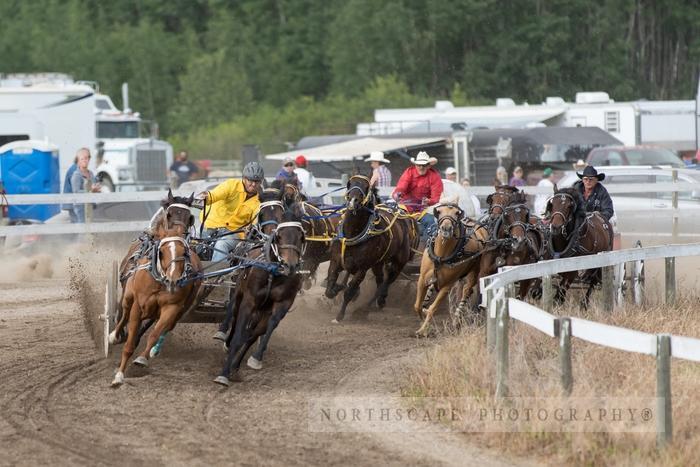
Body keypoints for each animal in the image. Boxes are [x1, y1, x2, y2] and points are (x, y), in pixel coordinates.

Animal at [110, 223, 201, 388]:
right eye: (162, 252)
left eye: (184, 252)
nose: (174, 280)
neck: (159, 281)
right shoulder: (138, 307)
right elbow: (129, 344)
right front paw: (119, 376)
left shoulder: (171, 308)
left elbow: (154, 334)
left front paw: (142, 359)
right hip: (128, 295)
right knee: (124, 313)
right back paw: (113, 336)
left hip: (180, 310)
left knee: (167, 326)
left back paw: (154, 350)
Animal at [213, 205, 306, 388]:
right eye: (279, 235)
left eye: (300, 236)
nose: (289, 265)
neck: (273, 272)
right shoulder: (249, 301)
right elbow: (239, 336)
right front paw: (223, 374)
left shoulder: (282, 304)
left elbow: (263, 330)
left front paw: (254, 359)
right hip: (238, 295)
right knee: (234, 317)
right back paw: (227, 342)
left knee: (252, 333)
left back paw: (236, 364)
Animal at [326, 174, 418, 324]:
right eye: (349, 184)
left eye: (366, 186)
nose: (353, 201)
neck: (353, 234)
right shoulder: (336, 261)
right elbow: (330, 286)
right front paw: (336, 289)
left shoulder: (362, 268)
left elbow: (349, 291)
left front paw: (339, 316)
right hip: (378, 263)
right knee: (380, 281)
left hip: (399, 261)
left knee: (387, 281)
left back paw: (372, 305)